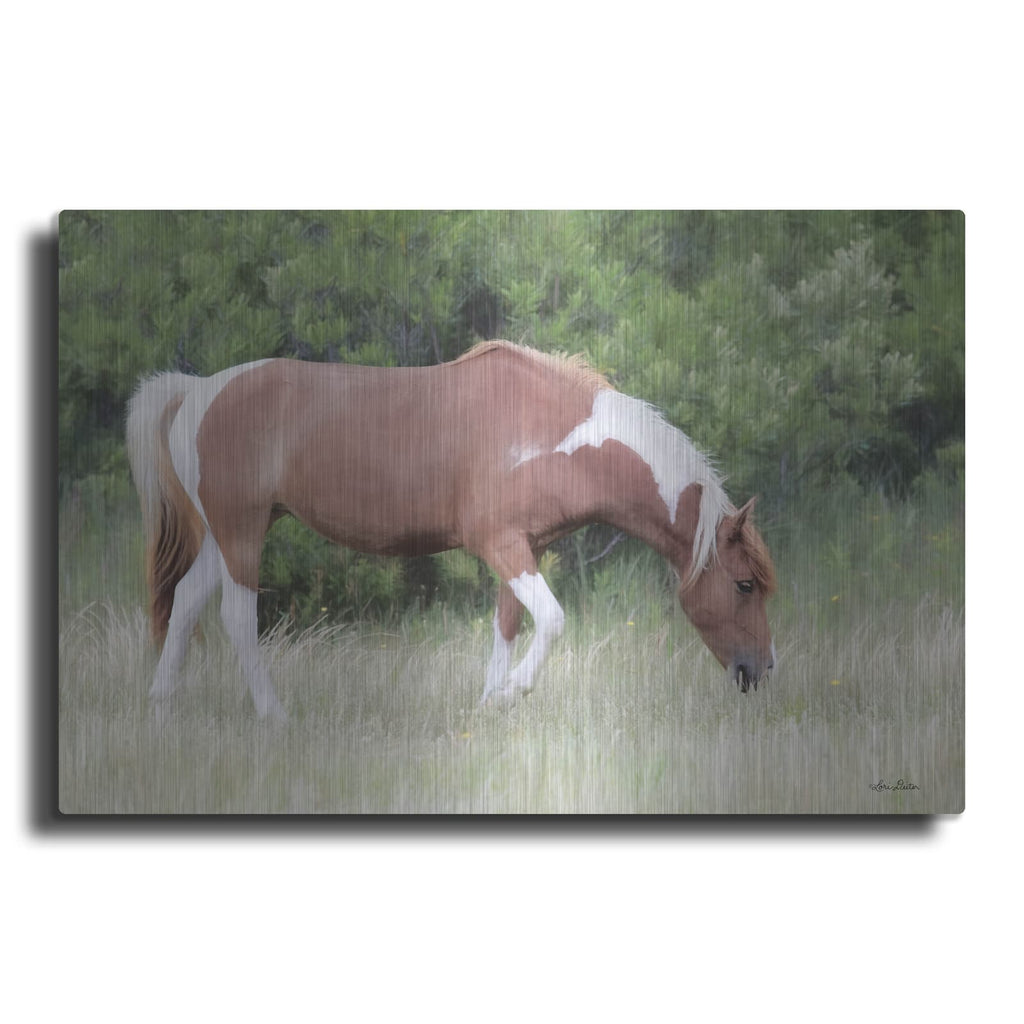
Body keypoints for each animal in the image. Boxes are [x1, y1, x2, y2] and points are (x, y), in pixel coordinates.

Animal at [127, 341, 776, 720]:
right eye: (744, 585)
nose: (761, 671)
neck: (550, 432)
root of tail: (197, 391)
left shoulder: (523, 548)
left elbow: (507, 627)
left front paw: (489, 708)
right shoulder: (501, 545)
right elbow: (552, 621)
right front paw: (511, 694)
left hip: (226, 534)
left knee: (185, 602)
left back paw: (159, 705)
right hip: (241, 531)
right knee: (237, 617)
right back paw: (273, 716)